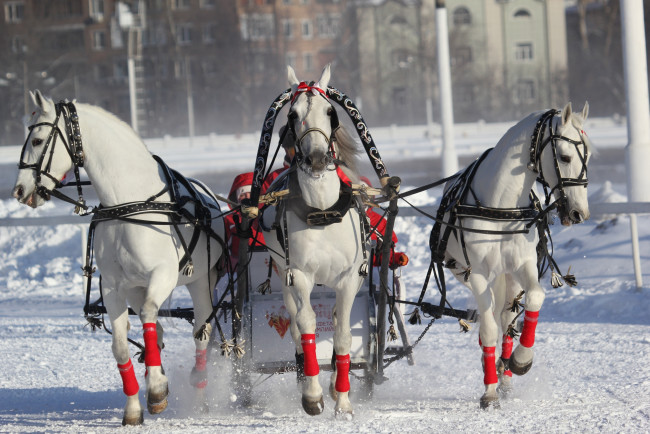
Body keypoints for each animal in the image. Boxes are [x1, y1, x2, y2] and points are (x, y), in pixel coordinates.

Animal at [12, 90, 225, 424]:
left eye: (36, 140)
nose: (19, 190)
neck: (127, 205)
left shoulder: (163, 275)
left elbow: (150, 316)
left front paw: (156, 388)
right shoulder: (113, 286)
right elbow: (121, 347)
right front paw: (136, 405)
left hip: (201, 282)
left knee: (200, 332)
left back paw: (198, 390)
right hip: (137, 288)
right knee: (158, 332)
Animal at [260, 66, 368, 418]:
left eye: (330, 112)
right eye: (293, 115)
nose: (318, 159)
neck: (322, 210)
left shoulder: (349, 279)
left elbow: (344, 335)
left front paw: (343, 400)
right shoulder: (299, 275)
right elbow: (306, 326)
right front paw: (312, 395)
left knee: (334, 320)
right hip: (283, 274)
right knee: (295, 324)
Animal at [432, 103, 588, 408]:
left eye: (586, 156)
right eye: (565, 157)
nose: (580, 213)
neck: (501, 206)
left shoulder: (522, 265)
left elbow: (534, 298)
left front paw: (520, 360)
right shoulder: (477, 274)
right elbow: (488, 328)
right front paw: (489, 391)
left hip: (507, 278)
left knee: (505, 317)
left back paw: (504, 371)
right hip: (470, 275)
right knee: (491, 318)